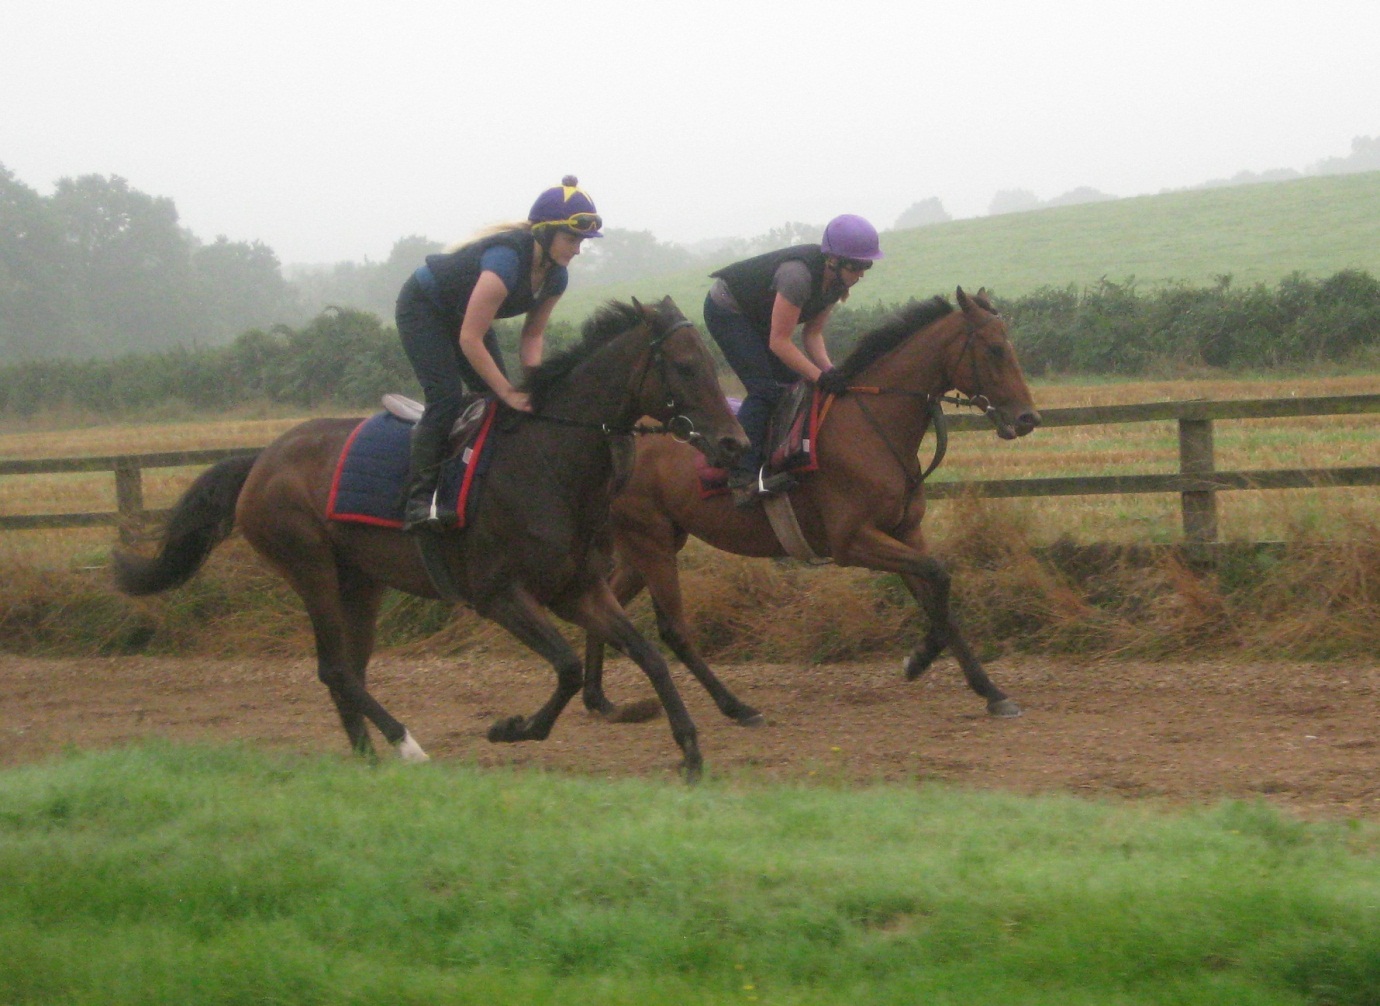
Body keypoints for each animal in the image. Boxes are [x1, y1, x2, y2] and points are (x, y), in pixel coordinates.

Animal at [113, 293, 750, 778]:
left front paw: (691, 748)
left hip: (360, 582)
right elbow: (569, 666)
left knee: (349, 669)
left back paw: (367, 757)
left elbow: (647, 654)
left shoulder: (577, 589)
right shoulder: (498, 595)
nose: (734, 443)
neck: (548, 459)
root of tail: (260, 461)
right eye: (686, 365)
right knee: (335, 669)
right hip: (309, 567)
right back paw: (405, 745)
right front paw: (514, 728)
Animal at [576, 287, 1037, 728]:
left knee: (606, 602)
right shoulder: (852, 541)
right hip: (649, 537)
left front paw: (990, 691)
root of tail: (620, 434)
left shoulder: (905, 532)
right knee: (670, 628)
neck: (871, 426)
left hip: (654, 541)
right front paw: (918, 659)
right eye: (995, 349)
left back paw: (597, 698)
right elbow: (938, 576)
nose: (1028, 418)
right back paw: (737, 708)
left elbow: (938, 597)